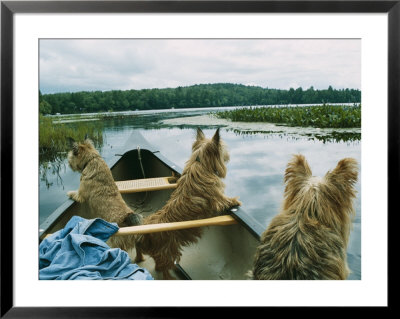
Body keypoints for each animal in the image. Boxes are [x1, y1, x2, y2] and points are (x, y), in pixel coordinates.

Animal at [134, 128, 241, 280]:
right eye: (223, 150)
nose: (228, 156)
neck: (200, 162)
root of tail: (144, 234)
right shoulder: (217, 198)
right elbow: (224, 200)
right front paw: (235, 200)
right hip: (169, 252)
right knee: (165, 269)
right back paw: (170, 278)